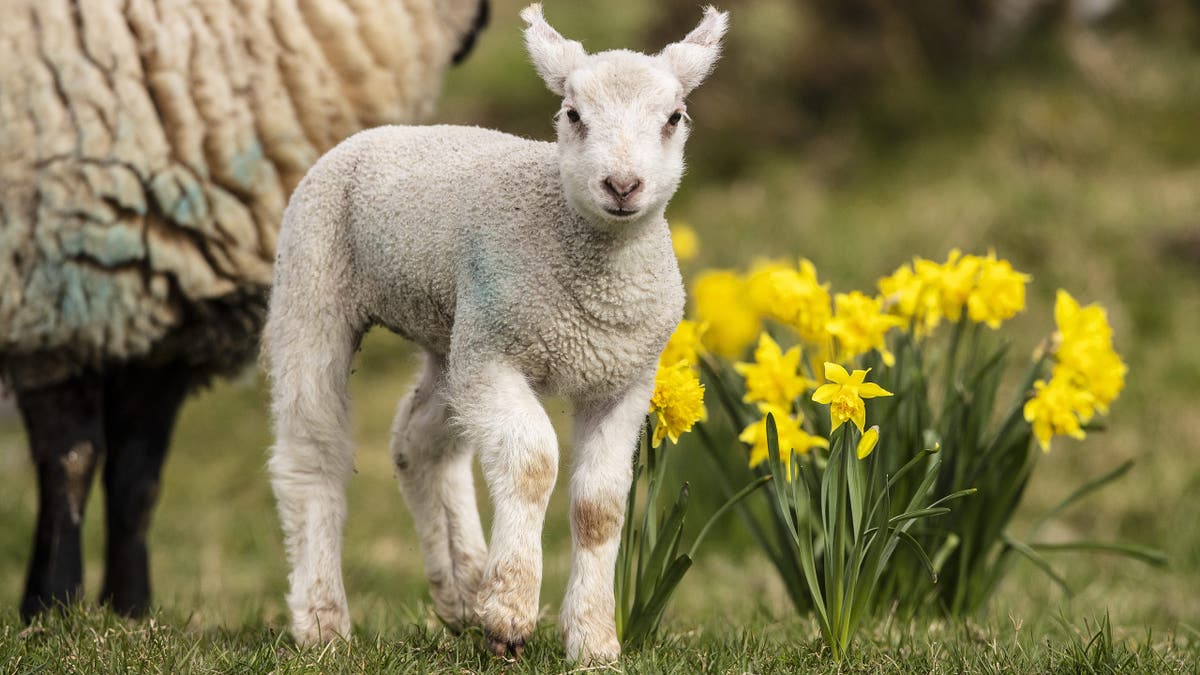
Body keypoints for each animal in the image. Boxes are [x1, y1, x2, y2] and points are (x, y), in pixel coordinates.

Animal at [1, 0, 487, 619]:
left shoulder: (168, 313)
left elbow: (137, 475)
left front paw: (131, 609)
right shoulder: (54, 285)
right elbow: (71, 457)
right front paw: (52, 605)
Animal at [267, 1, 724, 662]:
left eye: (675, 117)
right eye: (573, 114)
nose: (622, 186)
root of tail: (384, 131)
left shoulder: (624, 378)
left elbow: (600, 507)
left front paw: (593, 640)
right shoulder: (495, 357)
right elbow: (532, 463)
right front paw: (510, 612)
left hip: (453, 329)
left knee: (419, 443)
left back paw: (460, 593)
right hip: (314, 280)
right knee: (311, 453)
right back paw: (324, 621)